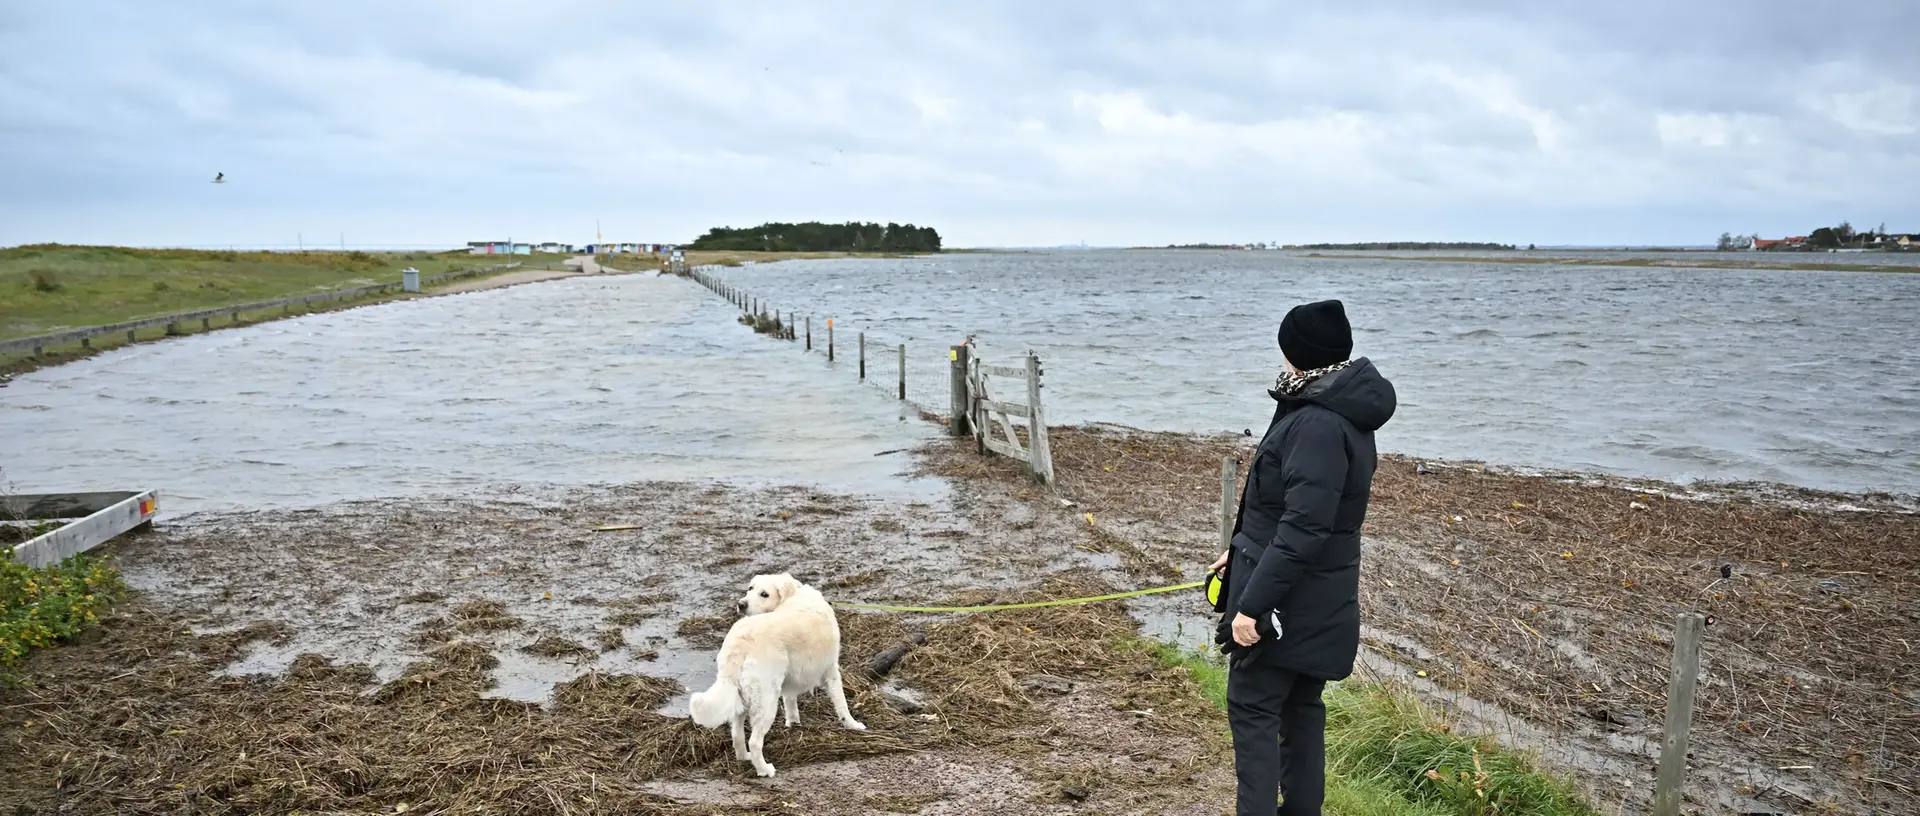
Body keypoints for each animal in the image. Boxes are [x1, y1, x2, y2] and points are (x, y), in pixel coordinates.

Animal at [687, 572, 867, 775]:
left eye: (764, 593)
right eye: (750, 589)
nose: (741, 604)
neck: (795, 593)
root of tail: (740, 644)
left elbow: (790, 701)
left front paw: (794, 723)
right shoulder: (831, 670)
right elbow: (842, 704)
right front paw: (853, 725)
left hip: (742, 697)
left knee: (737, 735)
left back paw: (744, 757)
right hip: (766, 702)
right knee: (755, 742)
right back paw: (765, 770)